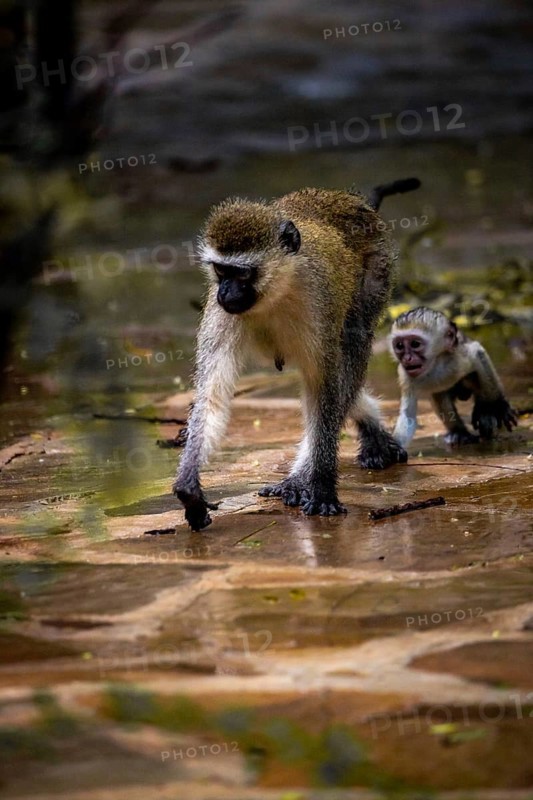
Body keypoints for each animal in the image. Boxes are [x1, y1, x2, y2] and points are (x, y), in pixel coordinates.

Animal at [173, 178, 421, 531]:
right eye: (221, 271)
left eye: (242, 274)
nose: (226, 292)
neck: (276, 289)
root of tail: (343, 197)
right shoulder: (220, 315)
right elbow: (212, 393)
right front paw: (189, 488)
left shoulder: (320, 302)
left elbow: (326, 389)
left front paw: (320, 486)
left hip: (377, 270)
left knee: (350, 356)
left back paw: (307, 473)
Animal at [389, 307, 518, 448]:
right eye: (400, 346)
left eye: (415, 344)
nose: (407, 358)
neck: (433, 365)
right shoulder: (404, 374)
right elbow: (408, 416)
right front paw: (395, 447)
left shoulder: (458, 358)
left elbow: (477, 352)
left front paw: (499, 406)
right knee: (438, 393)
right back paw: (459, 432)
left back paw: (485, 410)